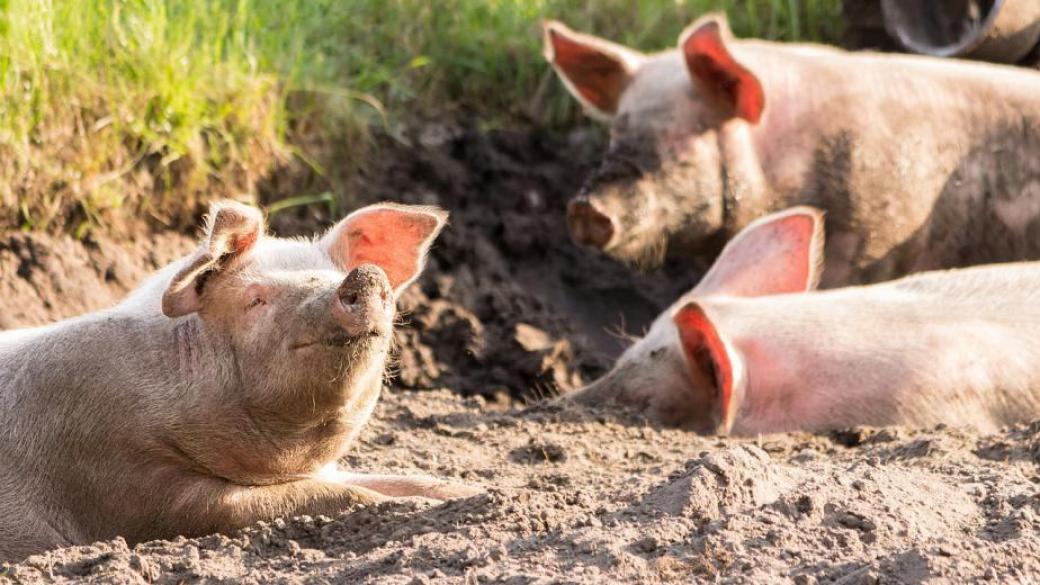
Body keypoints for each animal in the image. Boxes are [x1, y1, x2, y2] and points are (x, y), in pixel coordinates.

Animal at [0, 198, 478, 562]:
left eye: (329, 276)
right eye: (255, 299)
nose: (364, 274)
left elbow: (400, 480)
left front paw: (471, 492)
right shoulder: (126, 480)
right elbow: (323, 497)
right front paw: (413, 506)